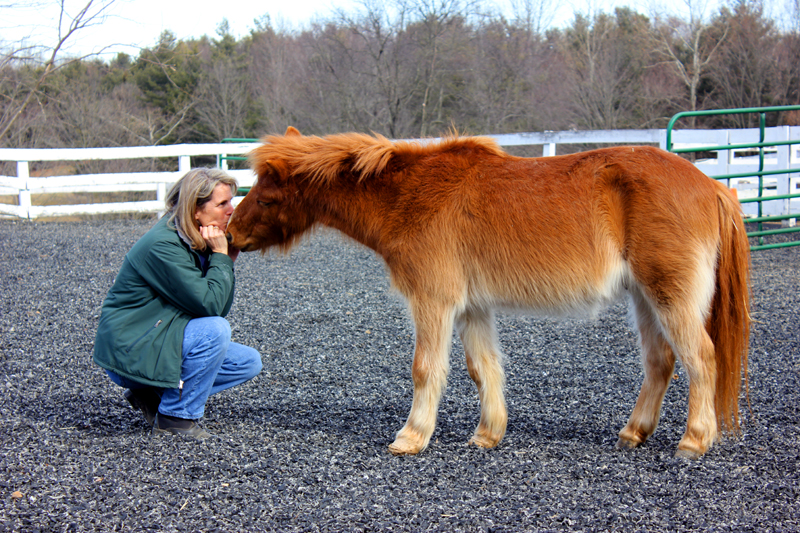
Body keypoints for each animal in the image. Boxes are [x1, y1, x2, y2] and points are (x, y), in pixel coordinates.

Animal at [227, 125, 752, 458]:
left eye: (266, 195)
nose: (230, 235)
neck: (410, 196)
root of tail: (712, 186)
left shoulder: (434, 303)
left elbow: (425, 369)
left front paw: (412, 437)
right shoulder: (472, 308)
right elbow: (483, 369)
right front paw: (487, 435)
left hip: (669, 297)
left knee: (701, 358)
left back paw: (693, 441)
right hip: (645, 299)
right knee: (661, 363)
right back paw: (633, 433)